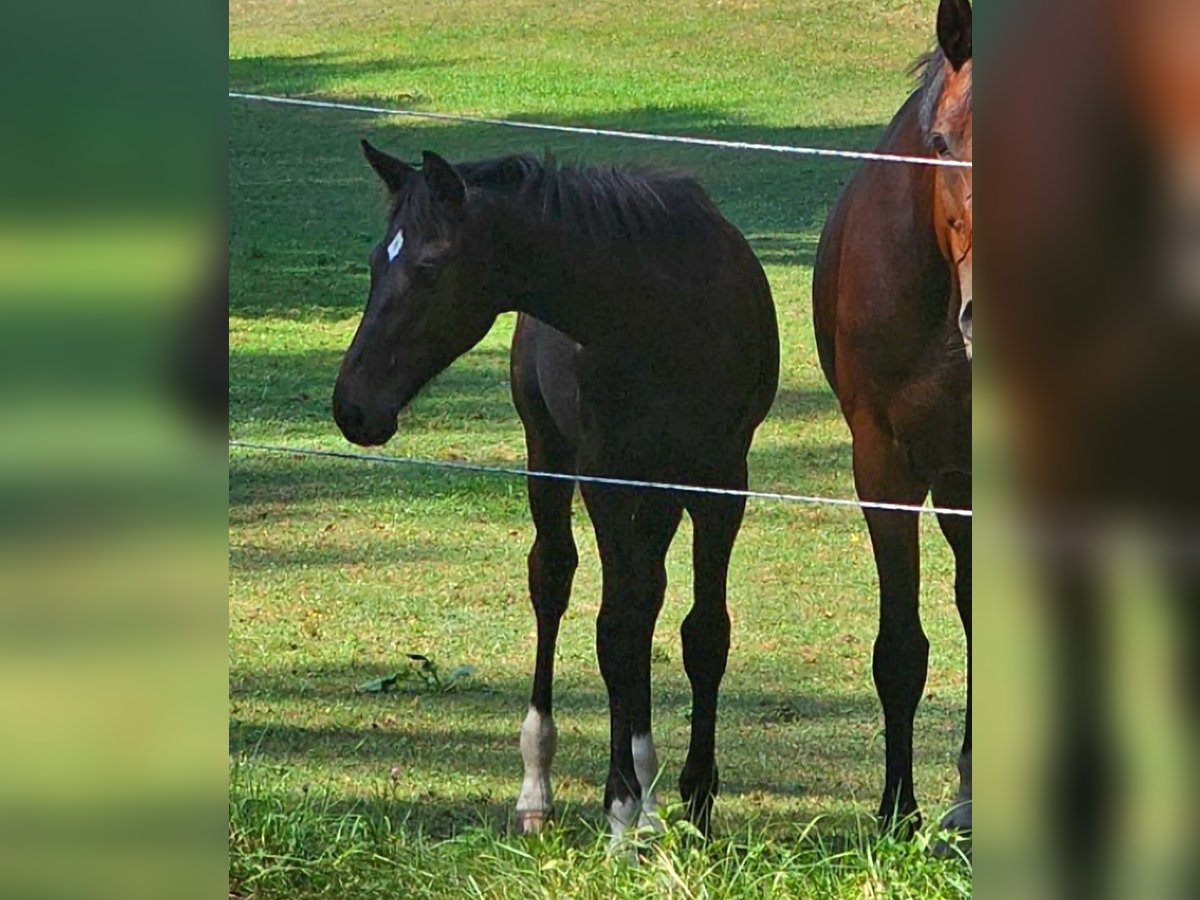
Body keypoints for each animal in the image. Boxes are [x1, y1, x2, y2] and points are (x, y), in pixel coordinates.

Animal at [331, 148, 777, 844]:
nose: (351, 406)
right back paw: (541, 788)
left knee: (645, 596)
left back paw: (651, 799)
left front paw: (696, 805)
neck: (664, 313)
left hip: (660, 491)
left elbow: (701, 633)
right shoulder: (604, 476)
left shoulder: (721, 479)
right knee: (555, 578)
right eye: (379, 261)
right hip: (548, 448)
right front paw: (619, 809)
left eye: (428, 268)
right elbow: (613, 632)